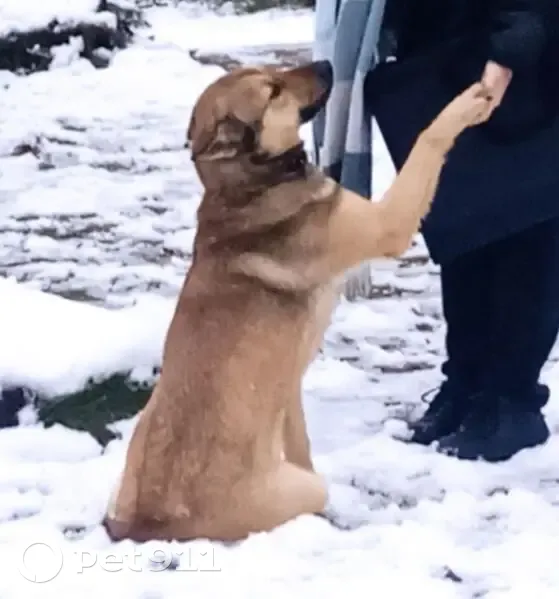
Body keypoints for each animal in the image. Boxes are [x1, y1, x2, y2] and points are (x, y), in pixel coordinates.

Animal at [103, 60, 494, 543]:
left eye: (267, 73)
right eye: (272, 90)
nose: (328, 65)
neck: (251, 186)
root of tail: (149, 525)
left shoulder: (289, 399)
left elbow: (301, 440)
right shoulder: (388, 222)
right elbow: (430, 137)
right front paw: (471, 101)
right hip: (308, 487)